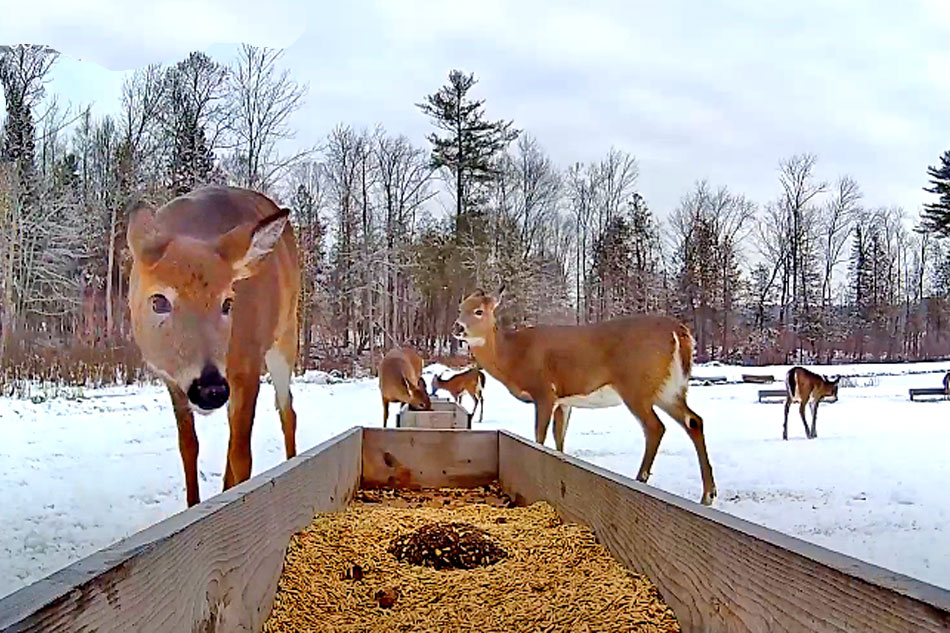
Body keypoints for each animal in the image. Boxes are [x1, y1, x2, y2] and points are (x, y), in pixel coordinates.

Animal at [124, 185, 300, 506]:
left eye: (228, 303)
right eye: (158, 301)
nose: (209, 389)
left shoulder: (248, 365)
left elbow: (242, 457)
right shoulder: (172, 379)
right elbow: (188, 447)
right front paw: (195, 505)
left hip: (286, 333)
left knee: (287, 411)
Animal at [452, 284, 712, 506]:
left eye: (478, 311)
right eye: (460, 308)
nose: (457, 327)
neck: (512, 356)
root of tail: (679, 332)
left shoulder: (544, 391)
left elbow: (539, 438)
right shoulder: (563, 401)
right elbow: (559, 440)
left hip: (636, 385)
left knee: (655, 428)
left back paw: (640, 479)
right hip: (669, 389)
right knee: (694, 420)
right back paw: (708, 495)